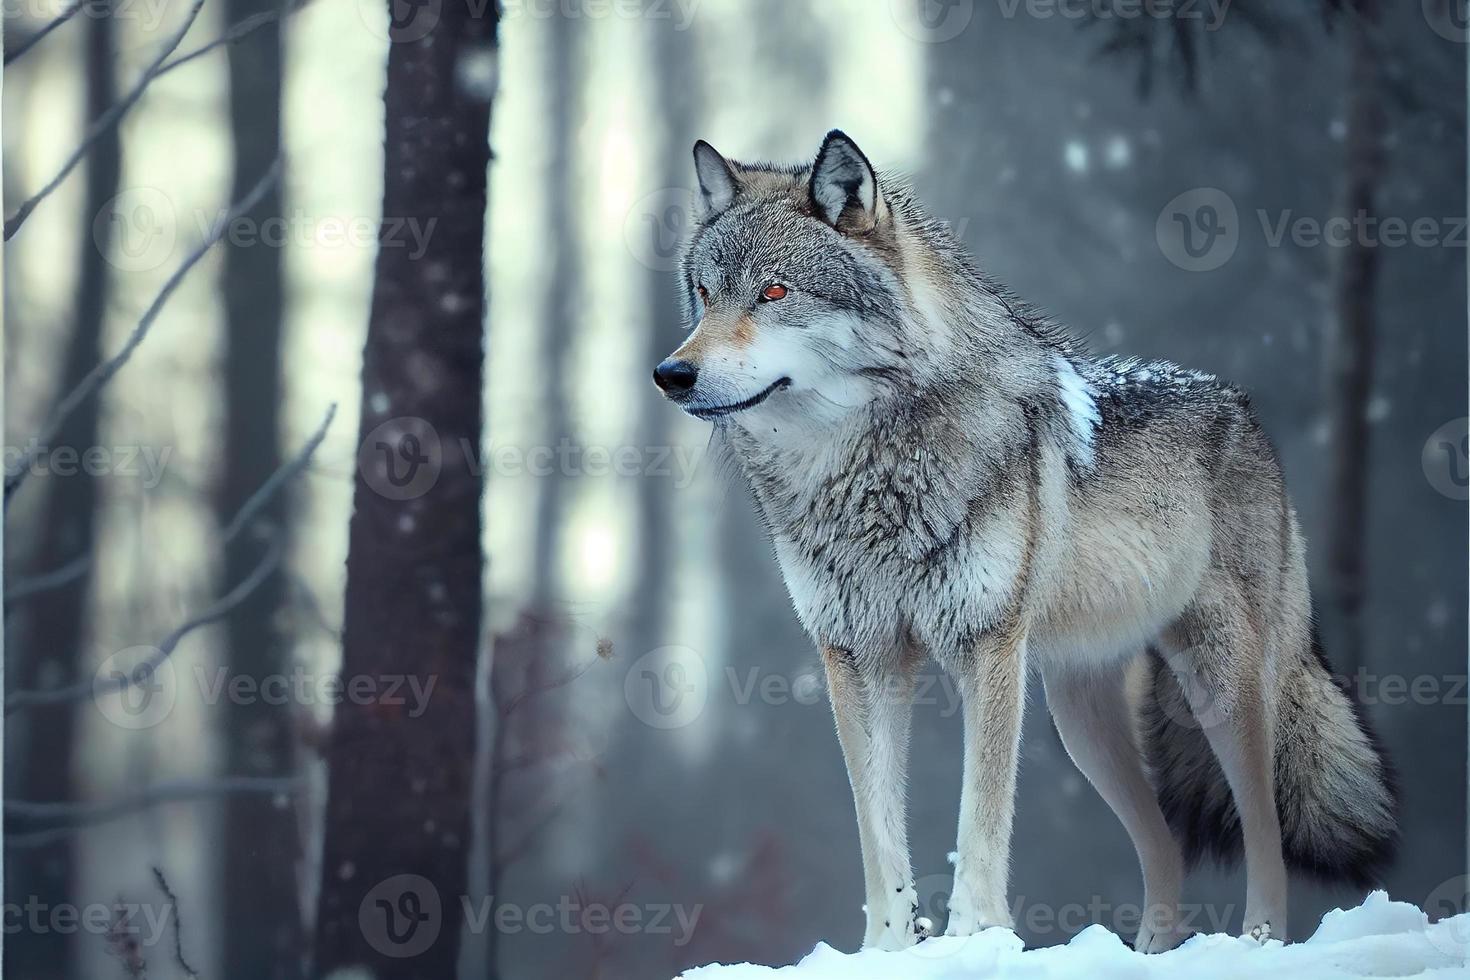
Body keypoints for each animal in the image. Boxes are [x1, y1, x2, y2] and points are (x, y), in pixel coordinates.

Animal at [649, 128, 1393, 952]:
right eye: (706, 295)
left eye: (775, 294)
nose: (671, 374)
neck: (867, 474)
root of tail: (1243, 407)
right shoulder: (856, 655)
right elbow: (878, 833)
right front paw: (889, 949)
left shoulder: (988, 645)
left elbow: (980, 817)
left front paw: (975, 938)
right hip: (1081, 719)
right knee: (1165, 844)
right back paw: (1146, 952)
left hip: (1221, 686)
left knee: (1266, 838)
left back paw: (1255, 944)